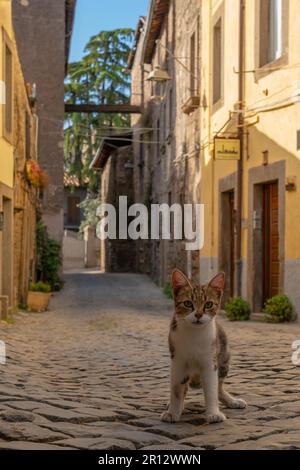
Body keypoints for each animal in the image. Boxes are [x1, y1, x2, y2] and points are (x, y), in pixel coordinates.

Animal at [162, 270, 246, 424]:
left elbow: (212, 389)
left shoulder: (210, 361)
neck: (194, 334)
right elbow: (176, 389)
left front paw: (214, 413)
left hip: (224, 357)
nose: (198, 315)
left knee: (219, 387)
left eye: (208, 304)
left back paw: (232, 401)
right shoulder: (177, 361)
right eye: (188, 303)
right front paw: (173, 412)